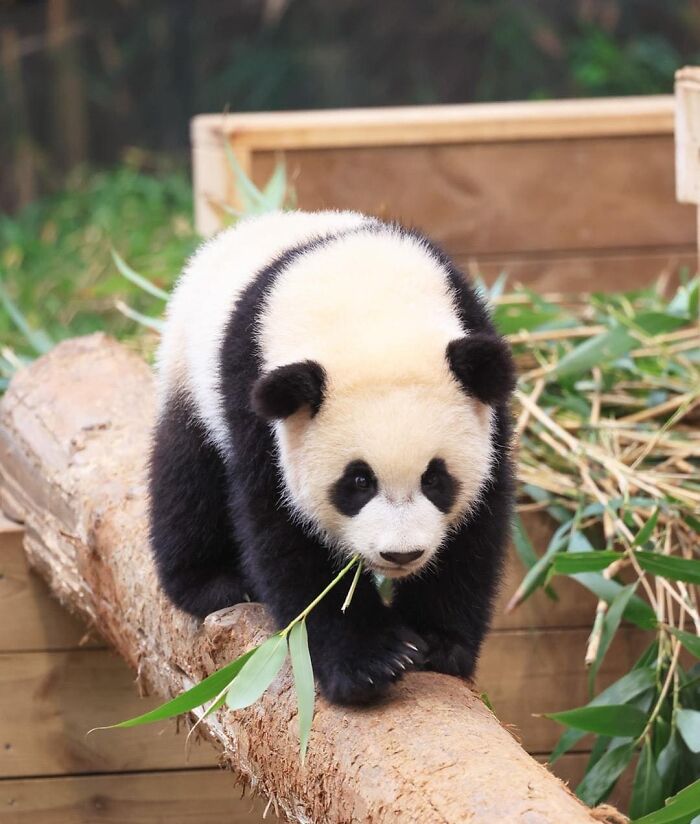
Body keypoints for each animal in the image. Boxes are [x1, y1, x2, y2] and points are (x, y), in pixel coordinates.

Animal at [150, 209, 515, 706]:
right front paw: (370, 662)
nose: (401, 553)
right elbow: (285, 531)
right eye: (358, 482)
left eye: (435, 479)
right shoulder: (257, 402)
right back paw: (213, 582)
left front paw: (437, 641)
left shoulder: (484, 392)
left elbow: (475, 529)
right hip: (189, 371)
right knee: (187, 475)